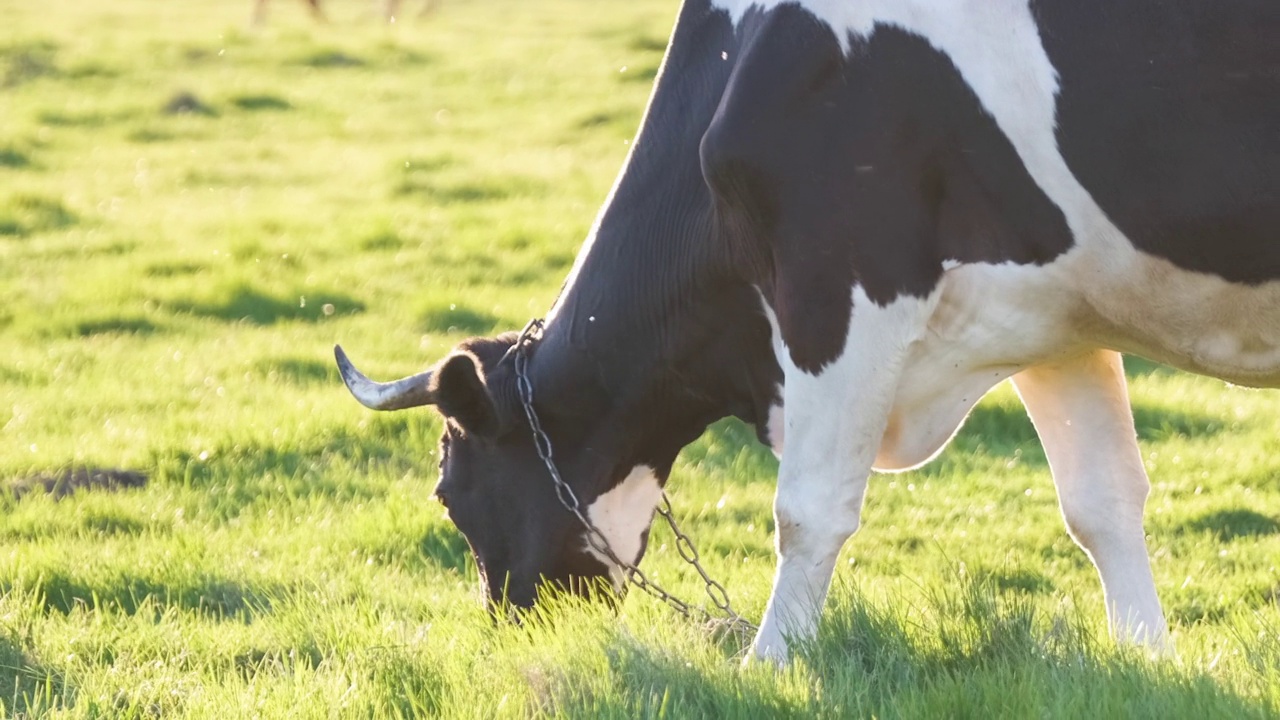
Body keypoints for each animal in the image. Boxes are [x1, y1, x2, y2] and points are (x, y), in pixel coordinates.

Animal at [337, 0, 1280, 661]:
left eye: (448, 493)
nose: (516, 632)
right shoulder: (1059, 317)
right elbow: (1102, 503)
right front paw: (1148, 656)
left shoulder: (839, 280)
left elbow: (808, 509)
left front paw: (772, 662)